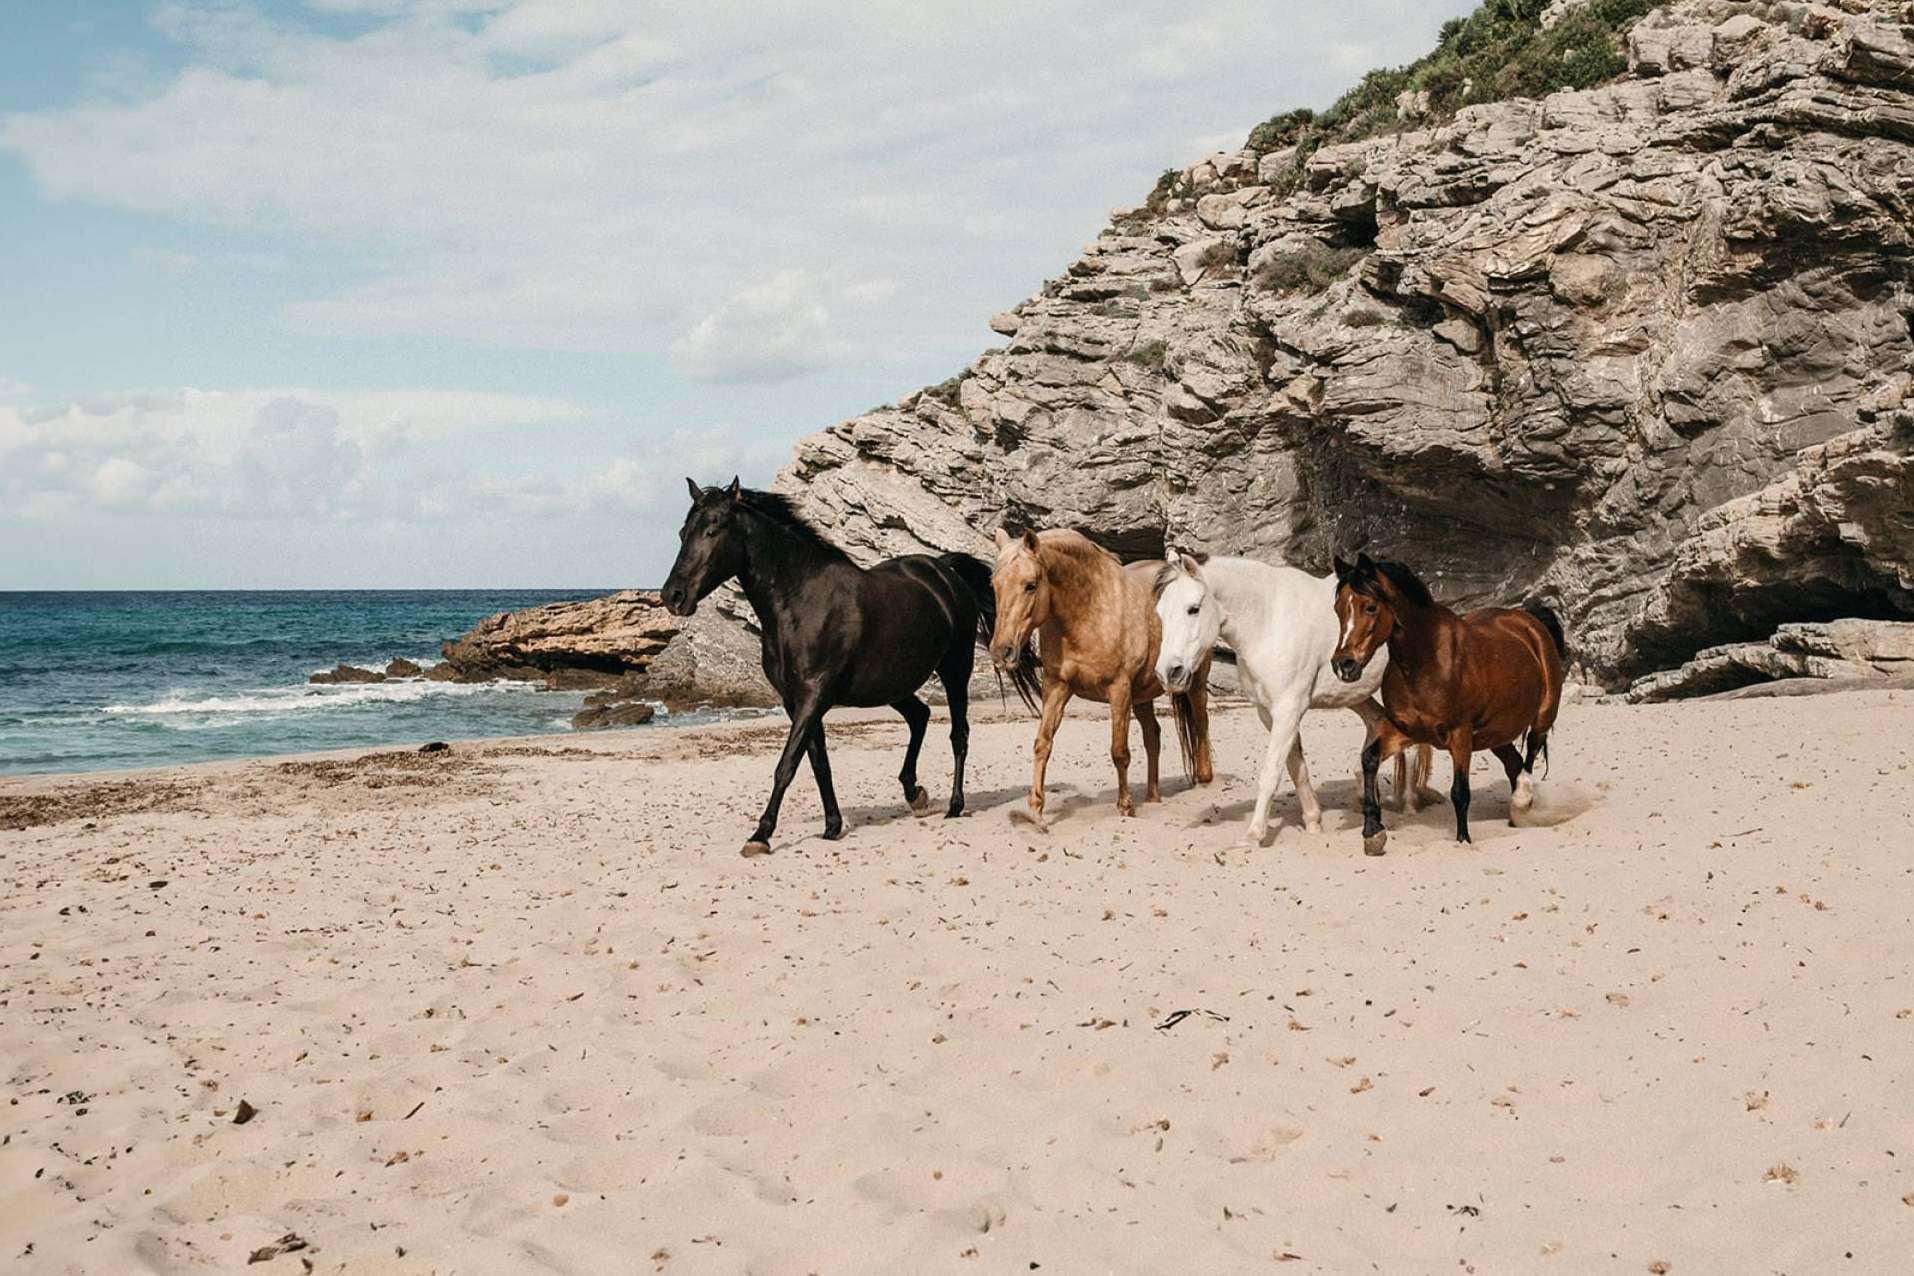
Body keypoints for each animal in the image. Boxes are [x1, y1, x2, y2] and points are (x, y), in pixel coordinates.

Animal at [660, 478, 1041, 857]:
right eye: (681, 532)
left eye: (713, 530)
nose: (672, 596)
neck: (801, 603)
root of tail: (944, 570)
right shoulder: (796, 701)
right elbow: (818, 763)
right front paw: (832, 825)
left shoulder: (814, 696)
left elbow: (787, 765)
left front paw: (761, 835)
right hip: (893, 684)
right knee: (920, 716)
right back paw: (913, 793)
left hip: (955, 671)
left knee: (958, 734)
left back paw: (954, 805)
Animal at [987, 528, 1213, 822]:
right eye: (994, 585)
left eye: (1030, 585)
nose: (1001, 651)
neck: (1088, 613)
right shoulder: (1056, 687)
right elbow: (1042, 744)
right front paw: (1036, 809)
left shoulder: (1119, 690)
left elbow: (1119, 751)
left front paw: (1125, 804)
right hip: (1143, 696)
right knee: (1153, 736)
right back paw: (1152, 796)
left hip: (1194, 683)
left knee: (1200, 723)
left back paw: (1205, 779)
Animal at [1152, 552, 1437, 845]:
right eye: (1160, 612)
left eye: (1193, 609)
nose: (1169, 672)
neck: (1267, 622)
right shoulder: (1269, 713)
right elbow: (1295, 766)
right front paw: (1313, 822)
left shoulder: (1288, 709)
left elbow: (1271, 771)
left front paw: (1254, 834)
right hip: (1355, 695)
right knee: (1377, 724)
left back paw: (1408, 805)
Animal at [1329, 553, 1567, 856]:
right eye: (1338, 609)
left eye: (1370, 607)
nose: (1344, 665)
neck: (1425, 660)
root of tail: (1529, 621)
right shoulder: (1406, 730)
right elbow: (1369, 758)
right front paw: (1372, 831)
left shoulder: (1460, 734)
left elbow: (1460, 792)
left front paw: (1463, 839)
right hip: (1496, 734)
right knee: (1514, 764)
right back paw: (1516, 814)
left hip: (1541, 717)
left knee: (1529, 758)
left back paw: (1523, 803)